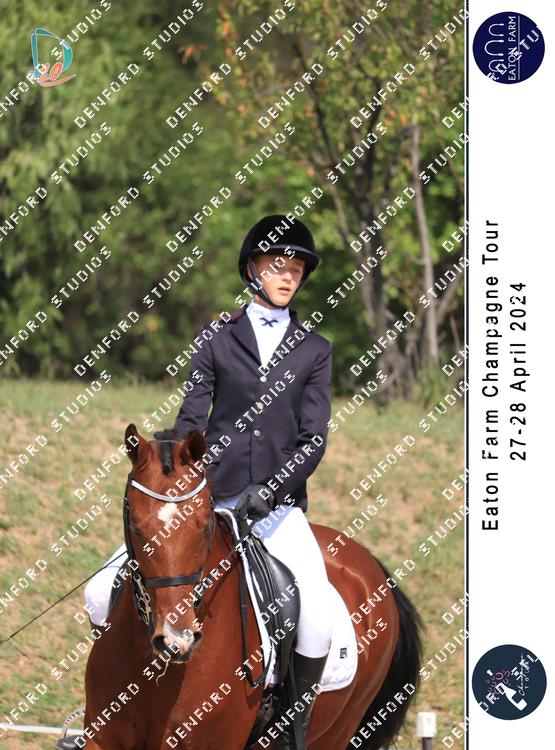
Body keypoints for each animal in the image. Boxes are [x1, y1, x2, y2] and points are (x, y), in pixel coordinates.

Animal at [80, 424, 423, 749]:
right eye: (136, 528)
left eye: (204, 526)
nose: (177, 641)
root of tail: (371, 565)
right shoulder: (101, 736)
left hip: (339, 729)